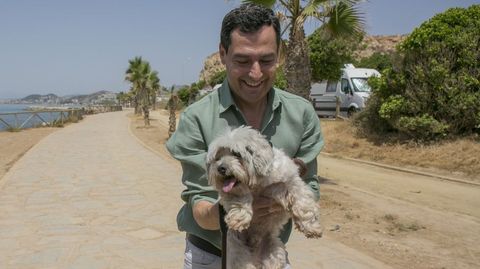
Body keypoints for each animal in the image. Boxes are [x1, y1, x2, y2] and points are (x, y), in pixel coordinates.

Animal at [206, 126, 322, 268]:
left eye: (236, 154)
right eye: (217, 157)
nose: (221, 168)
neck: (257, 183)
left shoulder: (292, 181)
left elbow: (303, 203)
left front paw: (311, 227)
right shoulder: (231, 192)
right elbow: (239, 199)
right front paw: (239, 217)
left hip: (274, 252)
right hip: (235, 250)